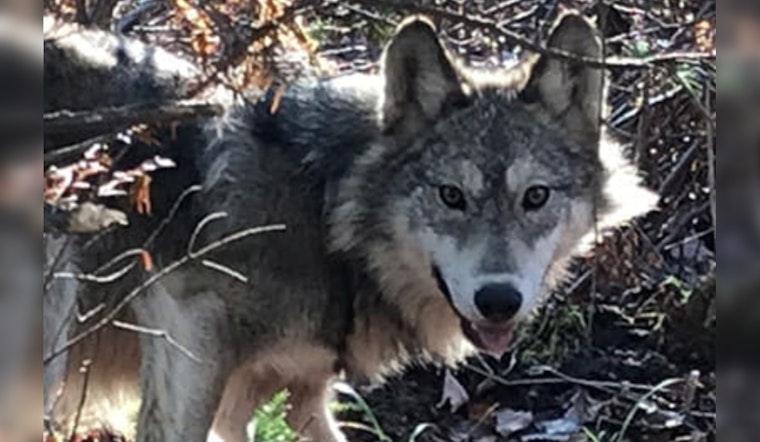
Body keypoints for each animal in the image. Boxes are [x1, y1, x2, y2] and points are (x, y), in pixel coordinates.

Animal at [43, 12, 657, 442]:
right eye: (451, 196)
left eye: (535, 197)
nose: (499, 300)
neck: (322, 210)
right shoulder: (188, 331)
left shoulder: (284, 393)